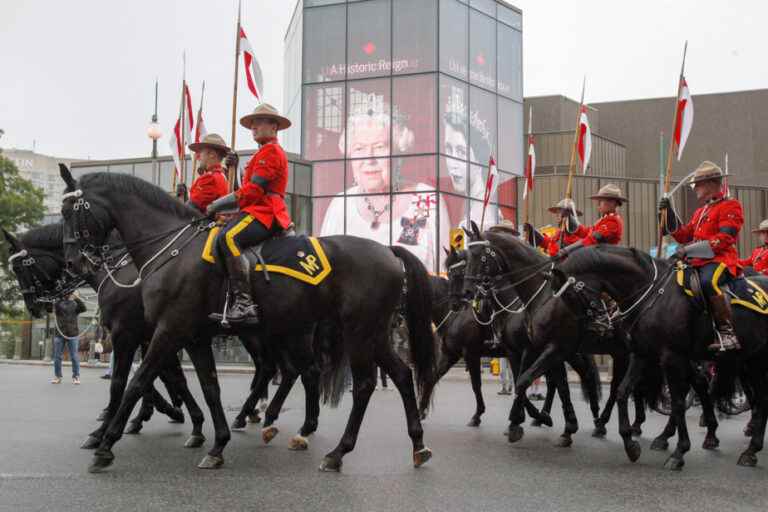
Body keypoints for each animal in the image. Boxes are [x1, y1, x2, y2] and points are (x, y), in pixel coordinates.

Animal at [58, 170, 438, 474]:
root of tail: (387, 250)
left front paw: (106, 444)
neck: (169, 251)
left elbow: (133, 383)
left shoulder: (162, 331)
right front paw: (216, 443)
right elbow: (209, 388)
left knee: (360, 385)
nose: (74, 262)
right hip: (369, 334)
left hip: (355, 332)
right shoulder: (193, 338)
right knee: (399, 375)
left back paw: (335, 452)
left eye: (70, 213)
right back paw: (416, 445)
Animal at [552, 246, 768, 470]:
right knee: (761, 399)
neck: (650, 294)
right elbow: (622, 392)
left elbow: (678, 403)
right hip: (753, 360)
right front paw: (630, 444)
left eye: (570, 294)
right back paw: (750, 450)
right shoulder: (641, 354)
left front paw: (679, 452)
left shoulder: (672, 357)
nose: (598, 324)